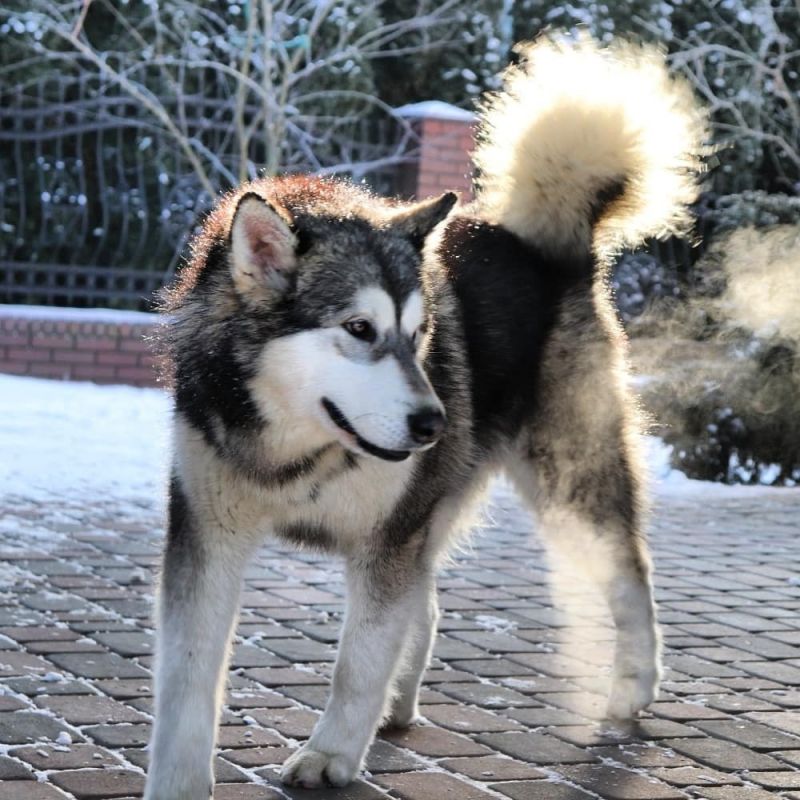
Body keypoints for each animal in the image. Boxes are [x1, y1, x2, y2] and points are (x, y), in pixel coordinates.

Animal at [144, 35, 706, 798]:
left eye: (418, 337)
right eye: (359, 329)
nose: (434, 424)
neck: (296, 449)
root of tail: (552, 248)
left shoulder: (386, 542)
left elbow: (358, 662)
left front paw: (329, 754)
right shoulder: (207, 533)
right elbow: (187, 681)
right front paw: (178, 779)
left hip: (567, 487)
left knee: (629, 574)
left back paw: (632, 688)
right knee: (429, 604)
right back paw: (399, 705)